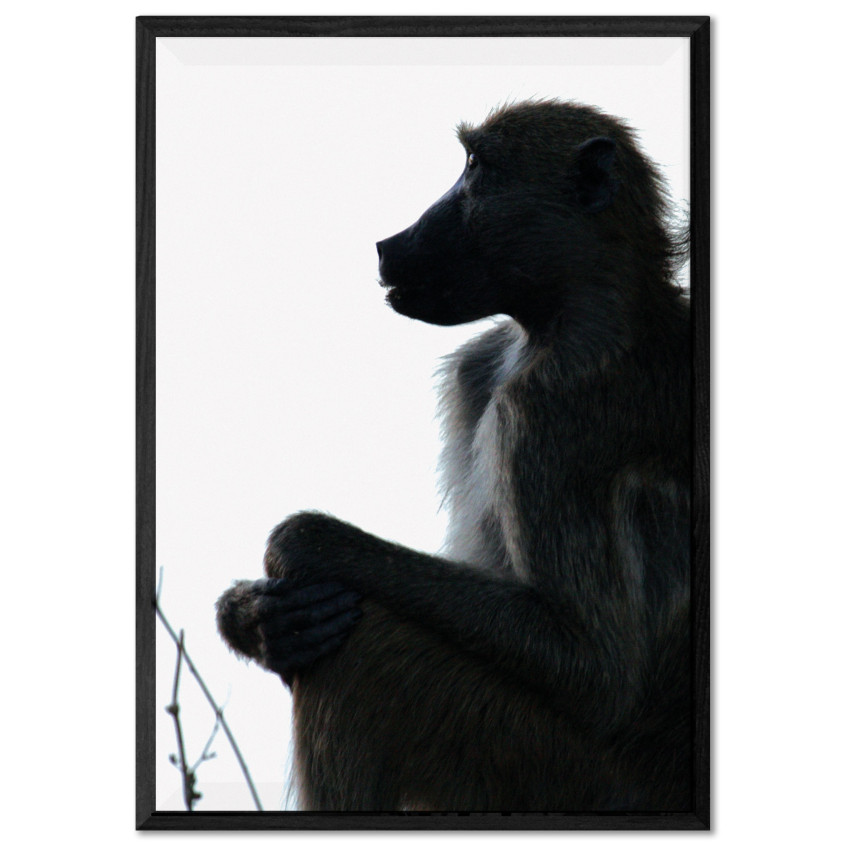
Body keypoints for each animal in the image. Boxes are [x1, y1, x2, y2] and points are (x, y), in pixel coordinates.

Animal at [216, 99, 691, 812]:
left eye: (475, 169)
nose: (390, 243)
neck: (575, 317)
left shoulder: (545, 413)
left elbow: (591, 665)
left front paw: (302, 543)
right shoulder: (480, 366)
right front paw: (256, 618)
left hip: (569, 778)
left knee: (365, 655)